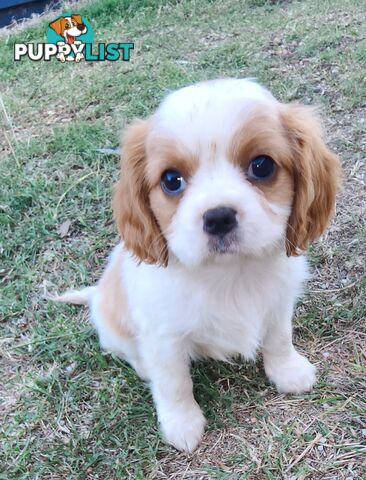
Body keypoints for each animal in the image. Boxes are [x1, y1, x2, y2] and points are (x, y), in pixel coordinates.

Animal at [56, 79, 340, 454]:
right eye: (171, 180)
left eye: (262, 166)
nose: (218, 217)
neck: (229, 273)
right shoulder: (163, 337)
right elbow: (174, 383)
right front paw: (182, 423)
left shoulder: (279, 304)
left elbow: (279, 338)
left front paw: (288, 371)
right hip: (113, 328)